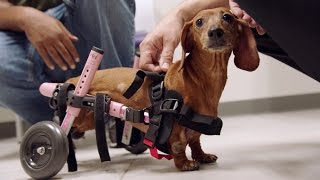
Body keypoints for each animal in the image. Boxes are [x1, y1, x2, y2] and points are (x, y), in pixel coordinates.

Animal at [66, 7, 258, 172]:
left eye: (227, 17)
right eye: (199, 22)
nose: (215, 32)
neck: (200, 79)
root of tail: (71, 80)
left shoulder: (196, 127)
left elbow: (195, 141)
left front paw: (202, 156)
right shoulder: (174, 128)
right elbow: (179, 145)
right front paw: (185, 164)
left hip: (89, 120)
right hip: (81, 116)